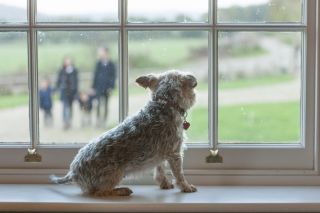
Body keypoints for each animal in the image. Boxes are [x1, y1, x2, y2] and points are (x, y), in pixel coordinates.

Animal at [49, 70, 198, 196]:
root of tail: (73, 173)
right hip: (115, 174)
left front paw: (165, 184)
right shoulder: (175, 153)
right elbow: (179, 174)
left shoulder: (161, 155)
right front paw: (186, 187)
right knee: (99, 192)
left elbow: (159, 170)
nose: (195, 84)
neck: (165, 103)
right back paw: (122, 190)